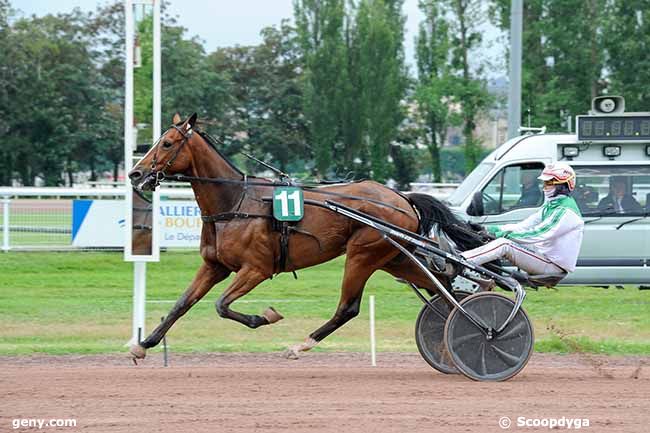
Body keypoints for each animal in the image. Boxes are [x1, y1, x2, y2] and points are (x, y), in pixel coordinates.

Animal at [129, 111, 478, 358]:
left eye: (167, 143)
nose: (135, 173)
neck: (235, 203)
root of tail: (402, 198)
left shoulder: (256, 268)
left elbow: (221, 305)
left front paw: (266, 316)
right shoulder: (214, 266)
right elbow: (182, 304)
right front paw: (143, 344)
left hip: (363, 254)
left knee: (348, 308)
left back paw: (301, 345)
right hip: (394, 258)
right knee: (444, 288)